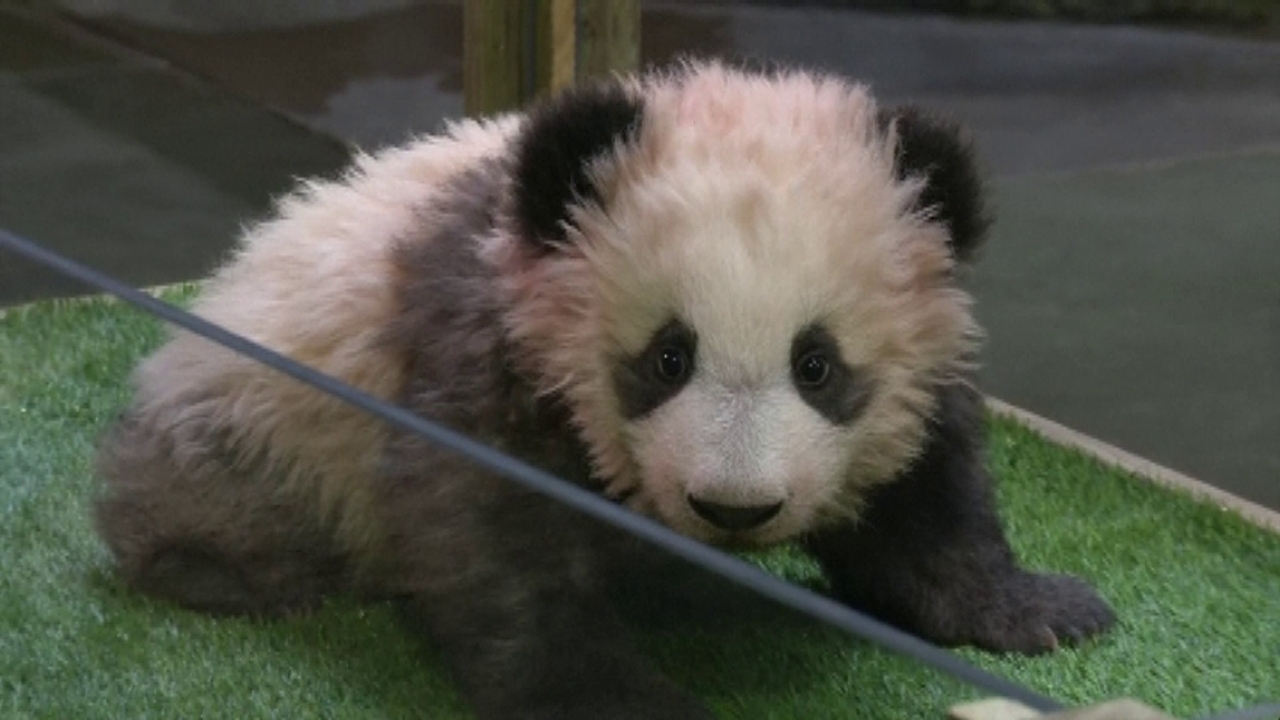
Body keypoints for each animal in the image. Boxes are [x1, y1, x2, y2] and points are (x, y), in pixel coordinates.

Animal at [94, 63, 1116, 717]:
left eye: (816, 364)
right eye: (668, 357)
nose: (734, 508)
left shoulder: (919, 359)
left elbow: (928, 497)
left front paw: (1037, 609)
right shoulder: (488, 339)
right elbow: (491, 536)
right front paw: (617, 696)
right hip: (253, 412)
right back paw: (222, 569)